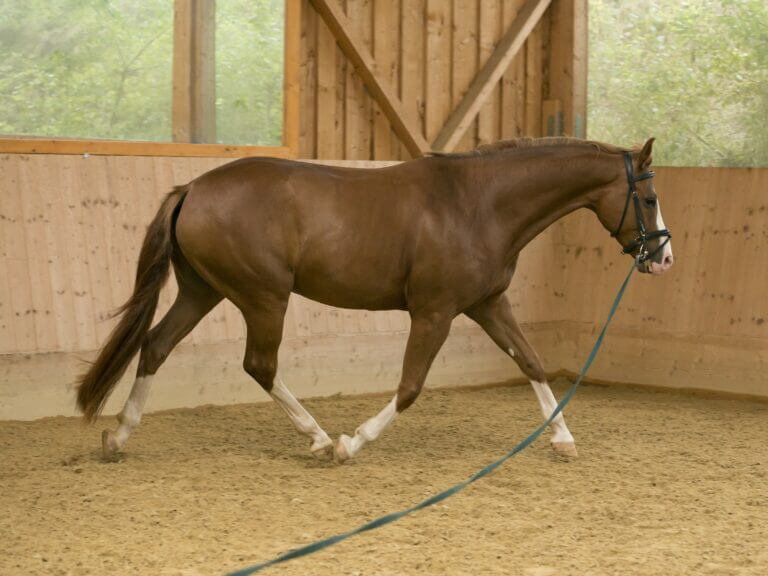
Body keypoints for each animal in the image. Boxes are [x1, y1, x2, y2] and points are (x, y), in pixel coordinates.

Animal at [76, 136, 672, 464]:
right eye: (648, 198)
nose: (663, 258)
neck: (478, 204)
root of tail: (193, 189)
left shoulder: (488, 304)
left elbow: (531, 362)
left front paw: (563, 440)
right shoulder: (434, 313)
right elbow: (410, 387)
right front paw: (352, 443)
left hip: (204, 291)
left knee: (155, 346)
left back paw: (119, 437)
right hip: (262, 297)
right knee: (258, 364)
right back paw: (319, 439)